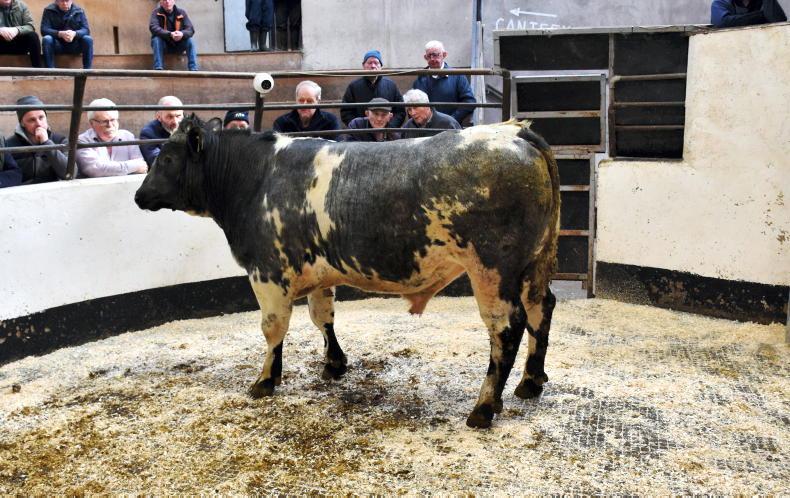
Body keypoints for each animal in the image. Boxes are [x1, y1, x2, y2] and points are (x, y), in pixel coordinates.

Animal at [134, 115, 560, 428]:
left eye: (167, 158)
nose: (138, 195)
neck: (254, 178)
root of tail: (515, 132)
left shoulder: (267, 271)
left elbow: (273, 327)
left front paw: (265, 380)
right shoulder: (316, 272)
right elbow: (322, 316)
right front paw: (334, 363)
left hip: (492, 270)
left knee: (505, 328)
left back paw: (484, 407)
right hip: (536, 263)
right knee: (541, 309)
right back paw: (530, 382)